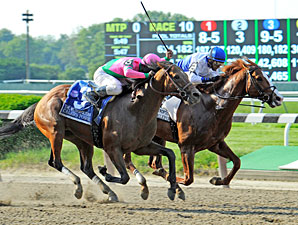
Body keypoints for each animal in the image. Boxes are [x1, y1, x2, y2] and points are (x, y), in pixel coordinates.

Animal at [0, 60, 201, 201]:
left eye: (185, 73)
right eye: (176, 76)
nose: (196, 94)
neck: (135, 109)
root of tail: (43, 99)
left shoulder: (141, 146)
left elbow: (170, 154)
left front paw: (173, 189)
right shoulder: (113, 148)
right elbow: (124, 177)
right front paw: (106, 171)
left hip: (81, 139)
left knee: (86, 167)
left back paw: (109, 192)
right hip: (55, 132)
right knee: (56, 162)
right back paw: (79, 187)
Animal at [124, 57, 282, 190]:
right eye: (259, 78)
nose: (279, 98)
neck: (213, 107)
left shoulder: (215, 144)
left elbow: (237, 162)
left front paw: (218, 180)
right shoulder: (186, 146)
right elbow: (188, 178)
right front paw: (173, 181)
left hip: (157, 136)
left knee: (152, 162)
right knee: (131, 160)